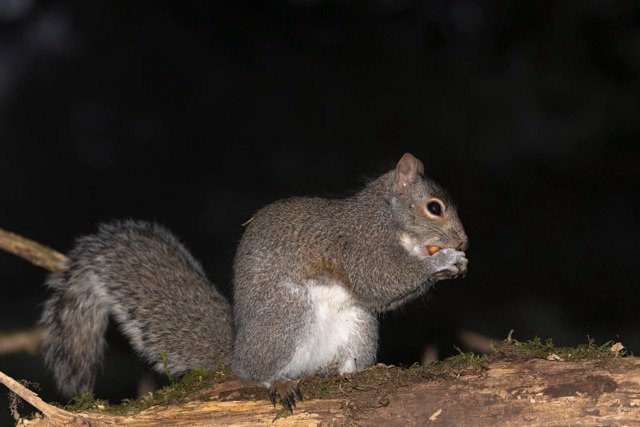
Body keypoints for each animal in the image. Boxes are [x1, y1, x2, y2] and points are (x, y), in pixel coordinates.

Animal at [40, 153, 470, 412]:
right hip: (287, 315)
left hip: (358, 326)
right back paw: (277, 382)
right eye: (434, 208)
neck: (386, 217)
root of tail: (236, 354)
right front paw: (445, 261)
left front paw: (455, 263)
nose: (464, 242)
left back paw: (345, 373)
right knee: (259, 373)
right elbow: (379, 278)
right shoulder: (357, 243)